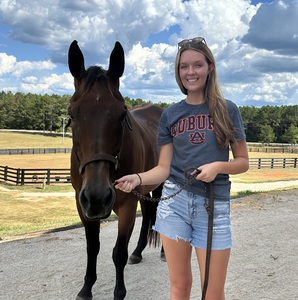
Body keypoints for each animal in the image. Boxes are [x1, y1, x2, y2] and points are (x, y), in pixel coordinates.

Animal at [68, 40, 163, 300]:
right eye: (72, 114)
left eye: (122, 114)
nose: (98, 196)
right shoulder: (82, 206)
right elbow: (93, 248)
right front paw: (86, 288)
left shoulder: (127, 204)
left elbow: (118, 252)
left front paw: (119, 292)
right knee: (148, 215)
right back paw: (138, 251)